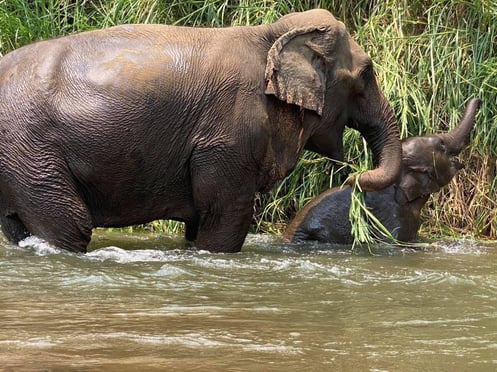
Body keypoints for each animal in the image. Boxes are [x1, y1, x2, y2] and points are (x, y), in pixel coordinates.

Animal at [0, 9, 400, 253]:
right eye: (367, 73)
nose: (351, 177)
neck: (269, 34)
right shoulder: (229, 134)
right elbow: (224, 214)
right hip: (30, 150)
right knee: (68, 226)